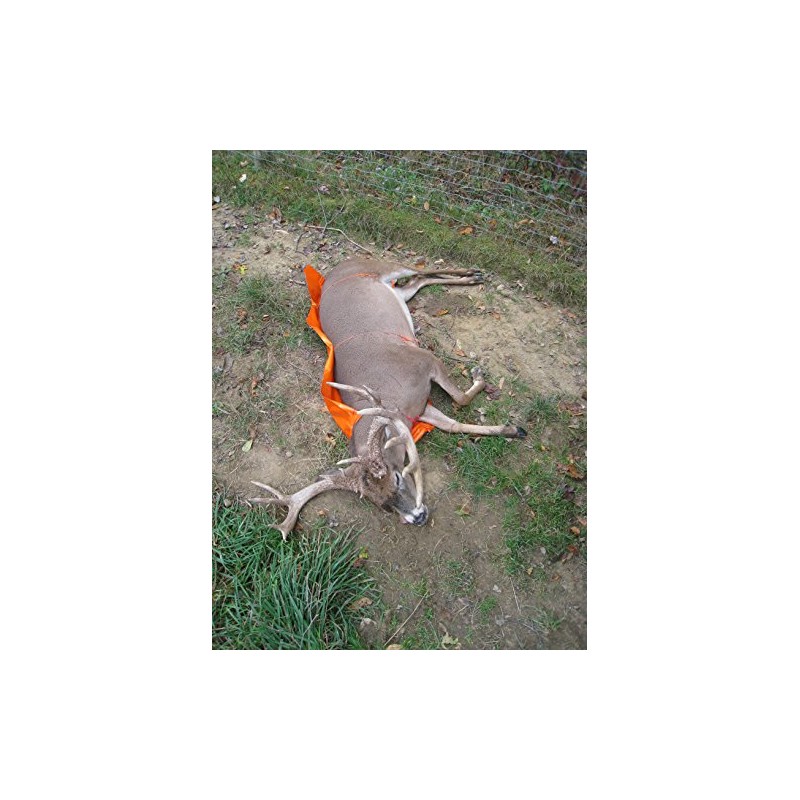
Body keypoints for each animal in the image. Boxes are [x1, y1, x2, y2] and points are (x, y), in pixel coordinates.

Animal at [249, 258, 527, 538]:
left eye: (396, 476)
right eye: (382, 504)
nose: (417, 517)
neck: (393, 400)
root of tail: (338, 268)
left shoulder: (425, 361)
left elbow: (460, 400)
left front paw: (479, 376)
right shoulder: (420, 409)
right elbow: (453, 424)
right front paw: (513, 429)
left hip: (380, 265)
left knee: (418, 269)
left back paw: (473, 274)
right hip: (400, 292)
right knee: (416, 282)